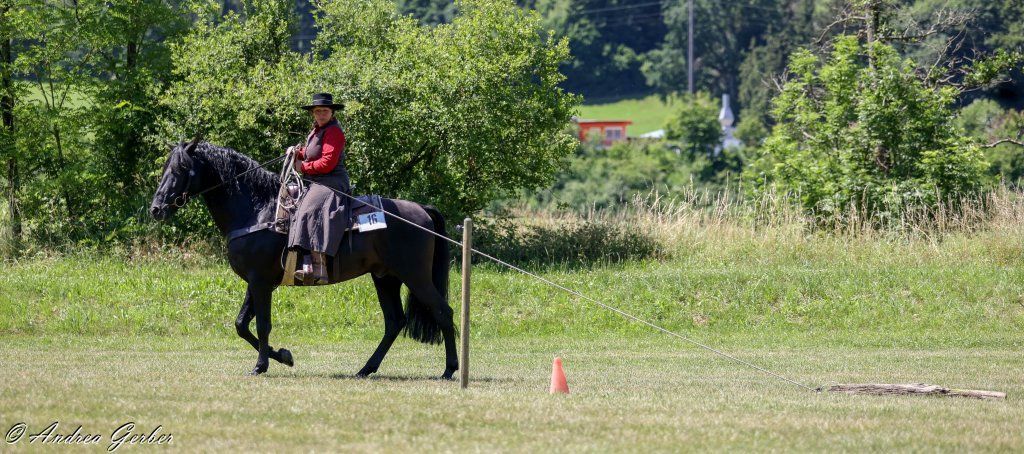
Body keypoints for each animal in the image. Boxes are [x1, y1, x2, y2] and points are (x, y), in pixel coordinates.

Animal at [149, 139, 458, 379]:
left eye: (180, 169)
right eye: (165, 168)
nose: (156, 209)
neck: (258, 210)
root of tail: (421, 210)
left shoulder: (260, 282)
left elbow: (261, 324)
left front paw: (261, 366)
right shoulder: (256, 282)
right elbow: (241, 325)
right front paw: (283, 356)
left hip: (415, 275)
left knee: (443, 312)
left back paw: (449, 370)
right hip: (386, 278)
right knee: (394, 322)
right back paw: (366, 369)